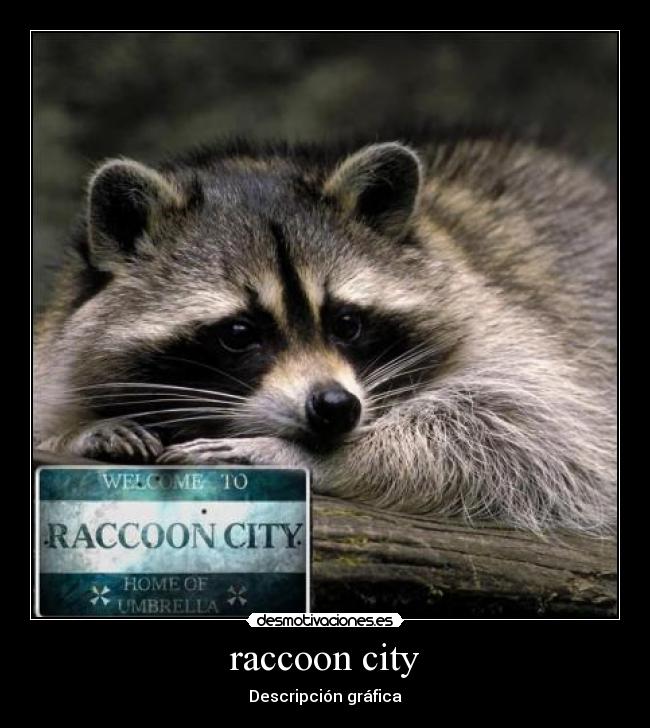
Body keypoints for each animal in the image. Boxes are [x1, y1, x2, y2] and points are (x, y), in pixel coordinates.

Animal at [34, 135, 617, 533]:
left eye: (346, 323)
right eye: (239, 333)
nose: (336, 407)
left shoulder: (504, 323)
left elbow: (538, 441)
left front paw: (300, 455)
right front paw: (78, 431)